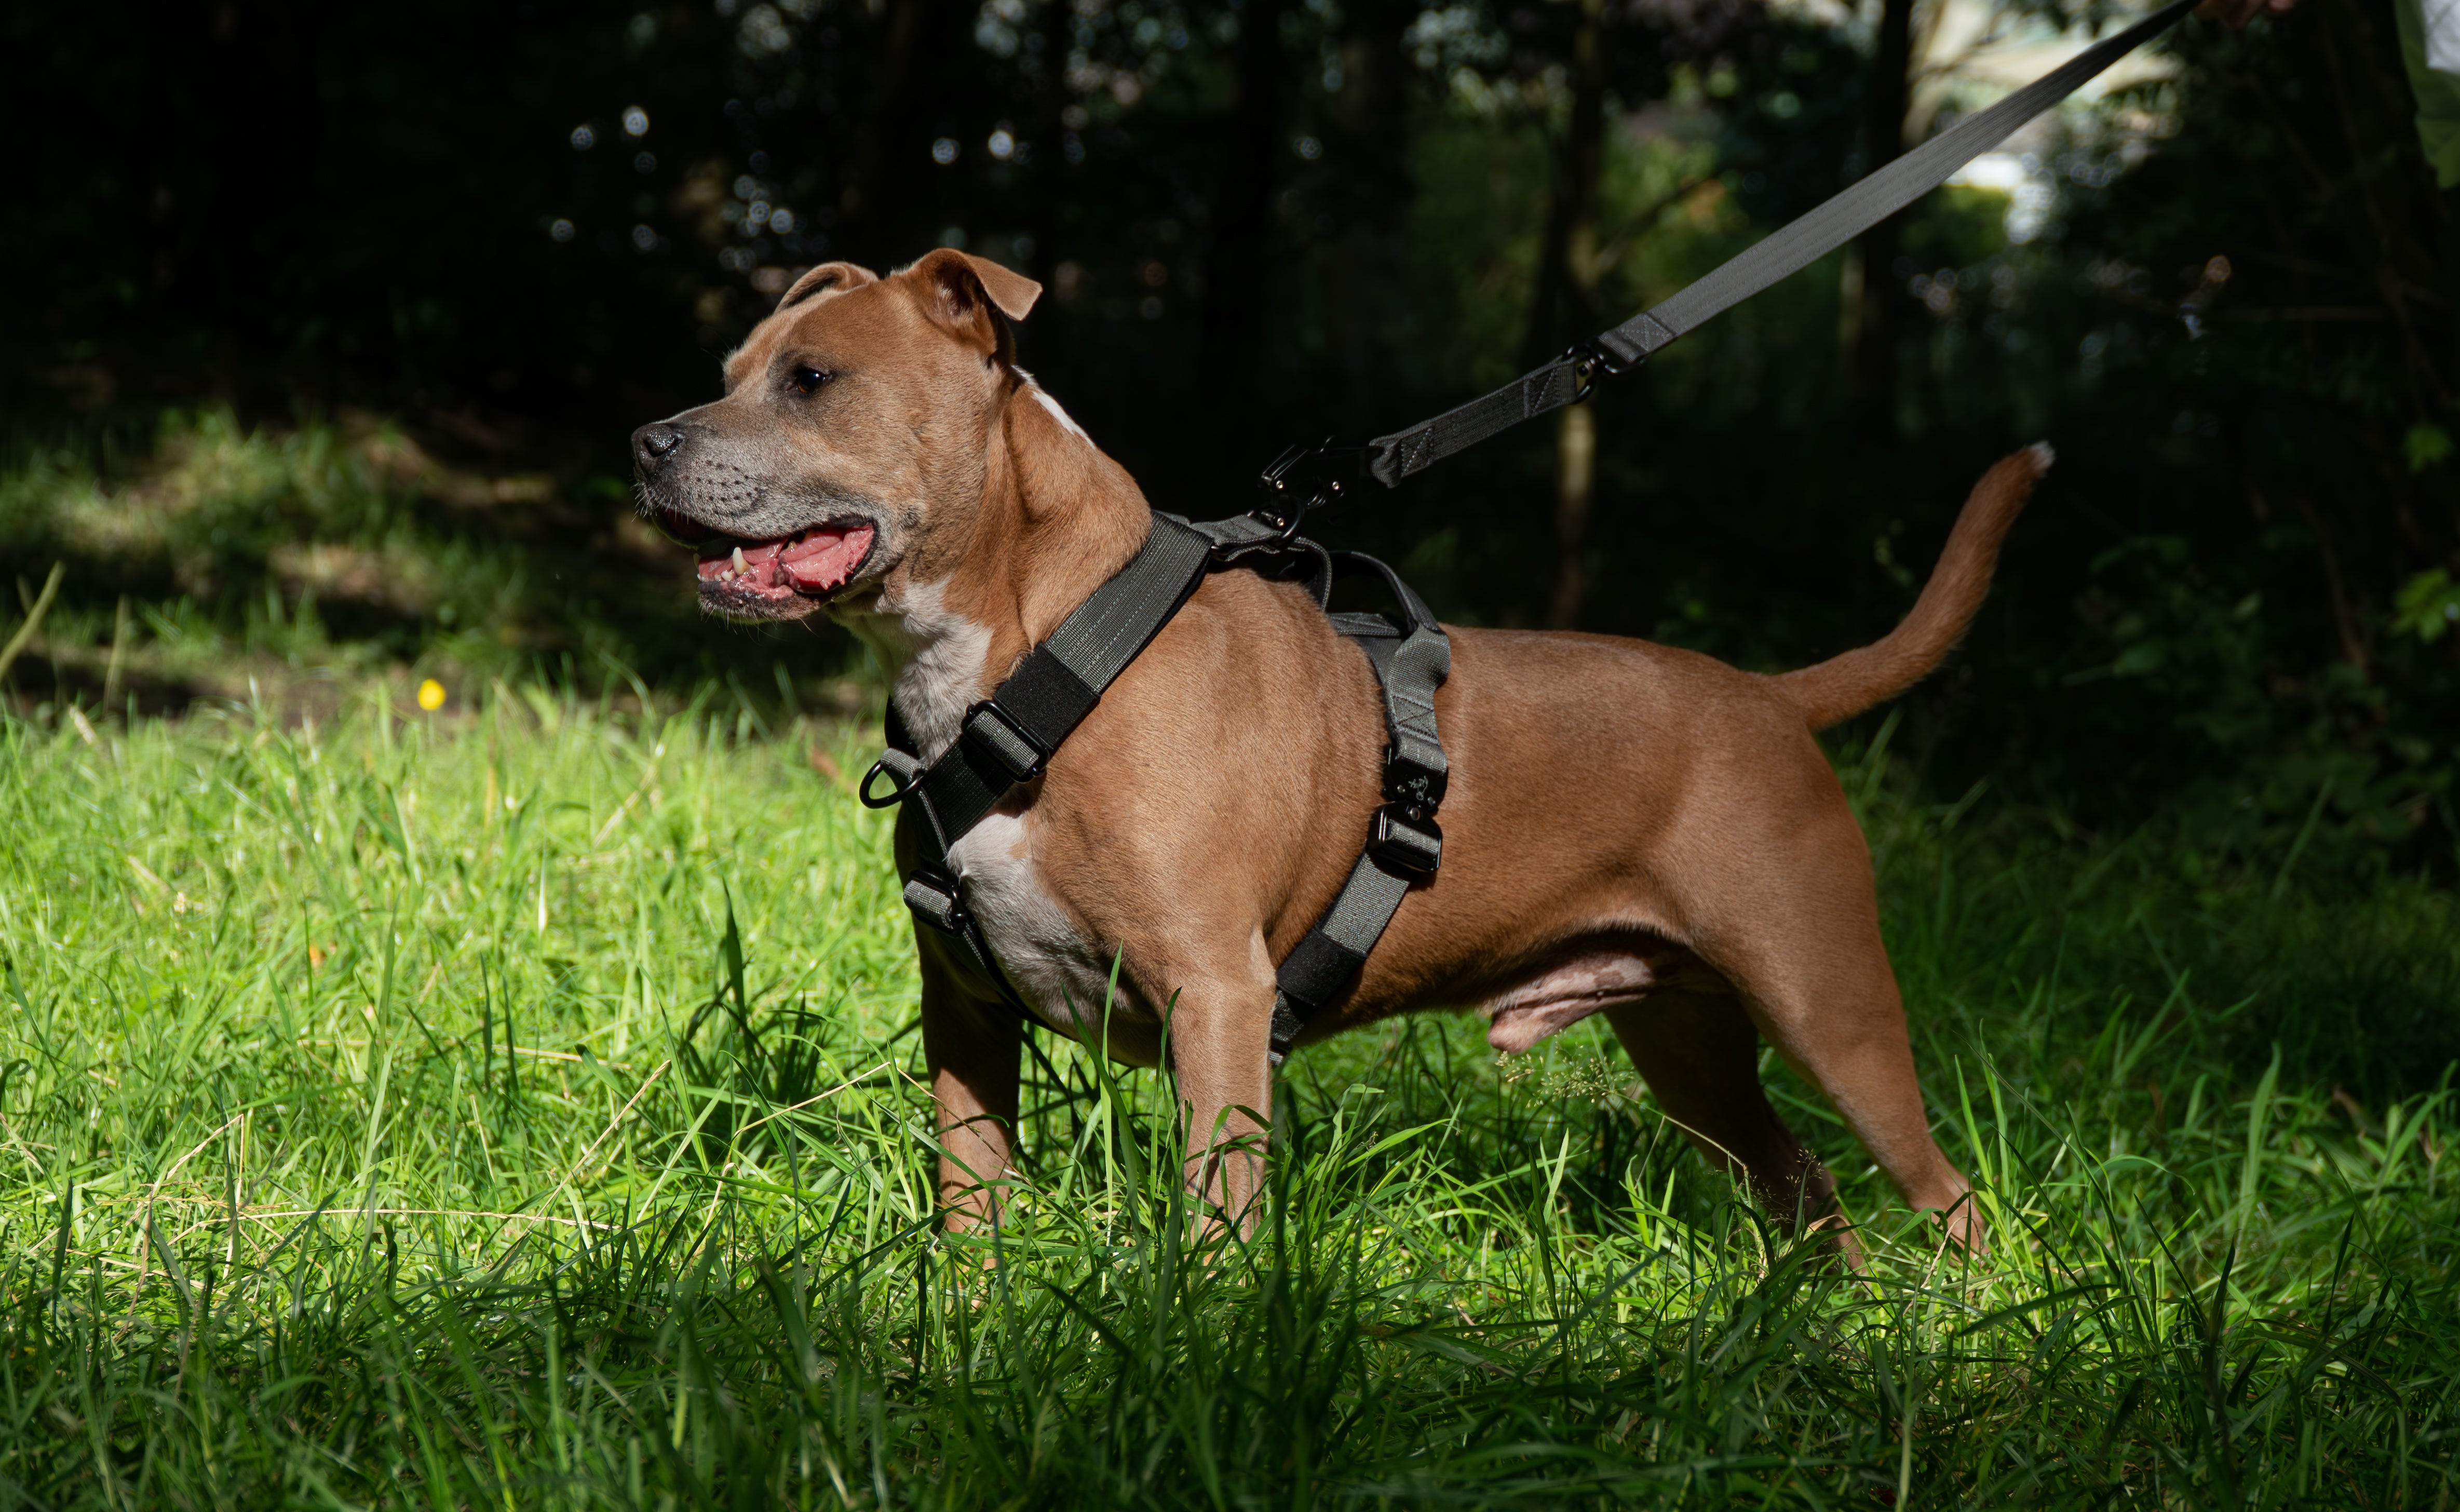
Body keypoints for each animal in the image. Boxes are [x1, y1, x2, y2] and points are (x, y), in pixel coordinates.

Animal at [634, 246, 2037, 1244]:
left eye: (812, 379)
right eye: (732, 364)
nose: (646, 439)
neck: (1042, 650)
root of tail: (1769, 697)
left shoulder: (1214, 998)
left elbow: (1214, 1217)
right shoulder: (966, 1013)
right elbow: (967, 1204)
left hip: (1825, 1004)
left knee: (1944, 1195)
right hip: (1687, 1045)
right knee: (1804, 1190)